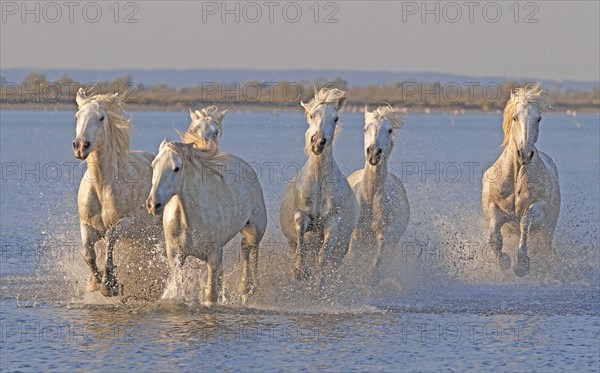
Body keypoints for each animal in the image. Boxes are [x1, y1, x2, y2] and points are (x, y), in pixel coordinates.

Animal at [72, 88, 161, 296]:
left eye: (101, 117)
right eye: (77, 116)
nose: (80, 146)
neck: (103, 186)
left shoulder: (129, 223)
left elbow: (111, 236)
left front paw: (109, 284)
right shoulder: (86, 225)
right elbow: (87, 253)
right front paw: (95, 282)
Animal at [146, 138, 266, 304]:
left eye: (177, 168)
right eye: (154, 165)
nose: (153, 204)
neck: (189, 222)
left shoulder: (214, 254)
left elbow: (211, 295)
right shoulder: (175, 254)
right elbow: (177, 290)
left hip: (256, 230)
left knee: (249, 249)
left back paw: (247, 287)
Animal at [280, 86, 358, 280]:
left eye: (335, 118)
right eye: (311, 115)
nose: (318, 143)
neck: (319, 182)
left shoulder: (332, 221)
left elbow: (323, 256)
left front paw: (318, 280)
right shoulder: (301, 215)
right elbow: (301, 244)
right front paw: (299, 271)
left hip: (341, 248)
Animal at [350, 104, 410, 280]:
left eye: (389, 130)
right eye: (365, 129)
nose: (374, 153)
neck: (370, 198)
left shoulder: (384, 237)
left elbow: (377, 263)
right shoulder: (355, 238)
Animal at [480, 84, 560, 276]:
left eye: (538, 119)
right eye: (515, 117)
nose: (525, 153)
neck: (516, 178)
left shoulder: (539, 207)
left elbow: (525, 222)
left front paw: (521, 264)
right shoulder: (495, 209)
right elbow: (494, 236)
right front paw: (504, 262)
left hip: (547, 231)